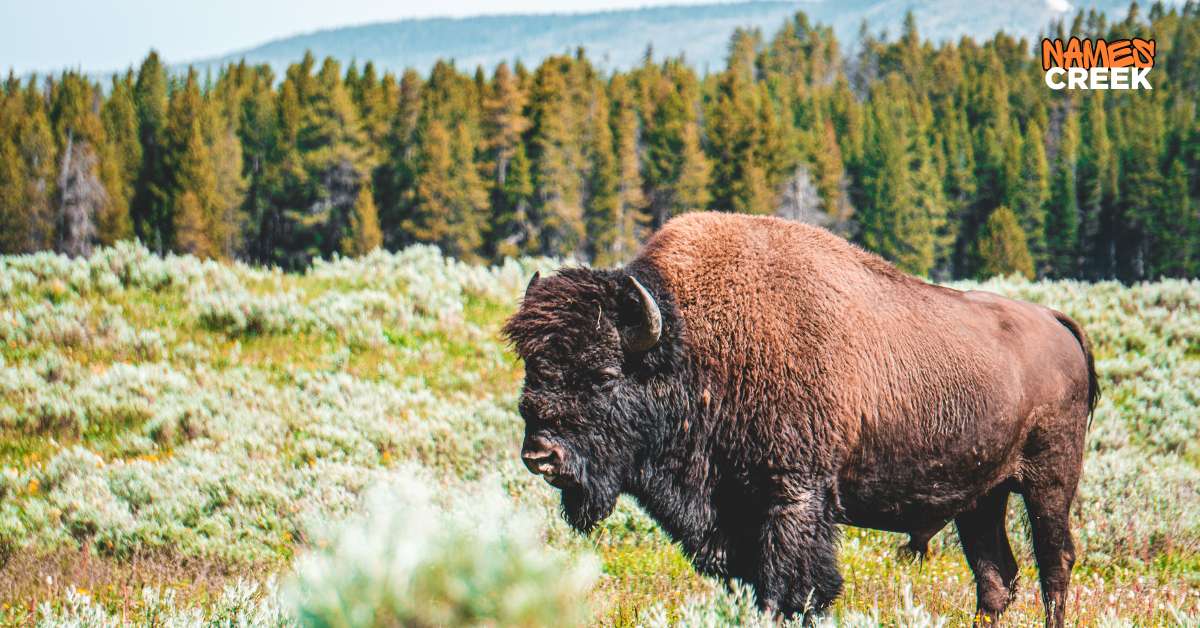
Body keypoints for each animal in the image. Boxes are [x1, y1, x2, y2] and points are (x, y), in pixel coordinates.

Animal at [503, 212, 1097, 626]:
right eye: (532, 366)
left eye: (604, 373)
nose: (541, 455)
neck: (691, 346)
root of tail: (1057, 321)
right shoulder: (733, 520)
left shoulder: (793, 498)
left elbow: (795, 589)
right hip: (981, 498)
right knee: (996, 577)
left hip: (1048, 482)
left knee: (1055, 563)